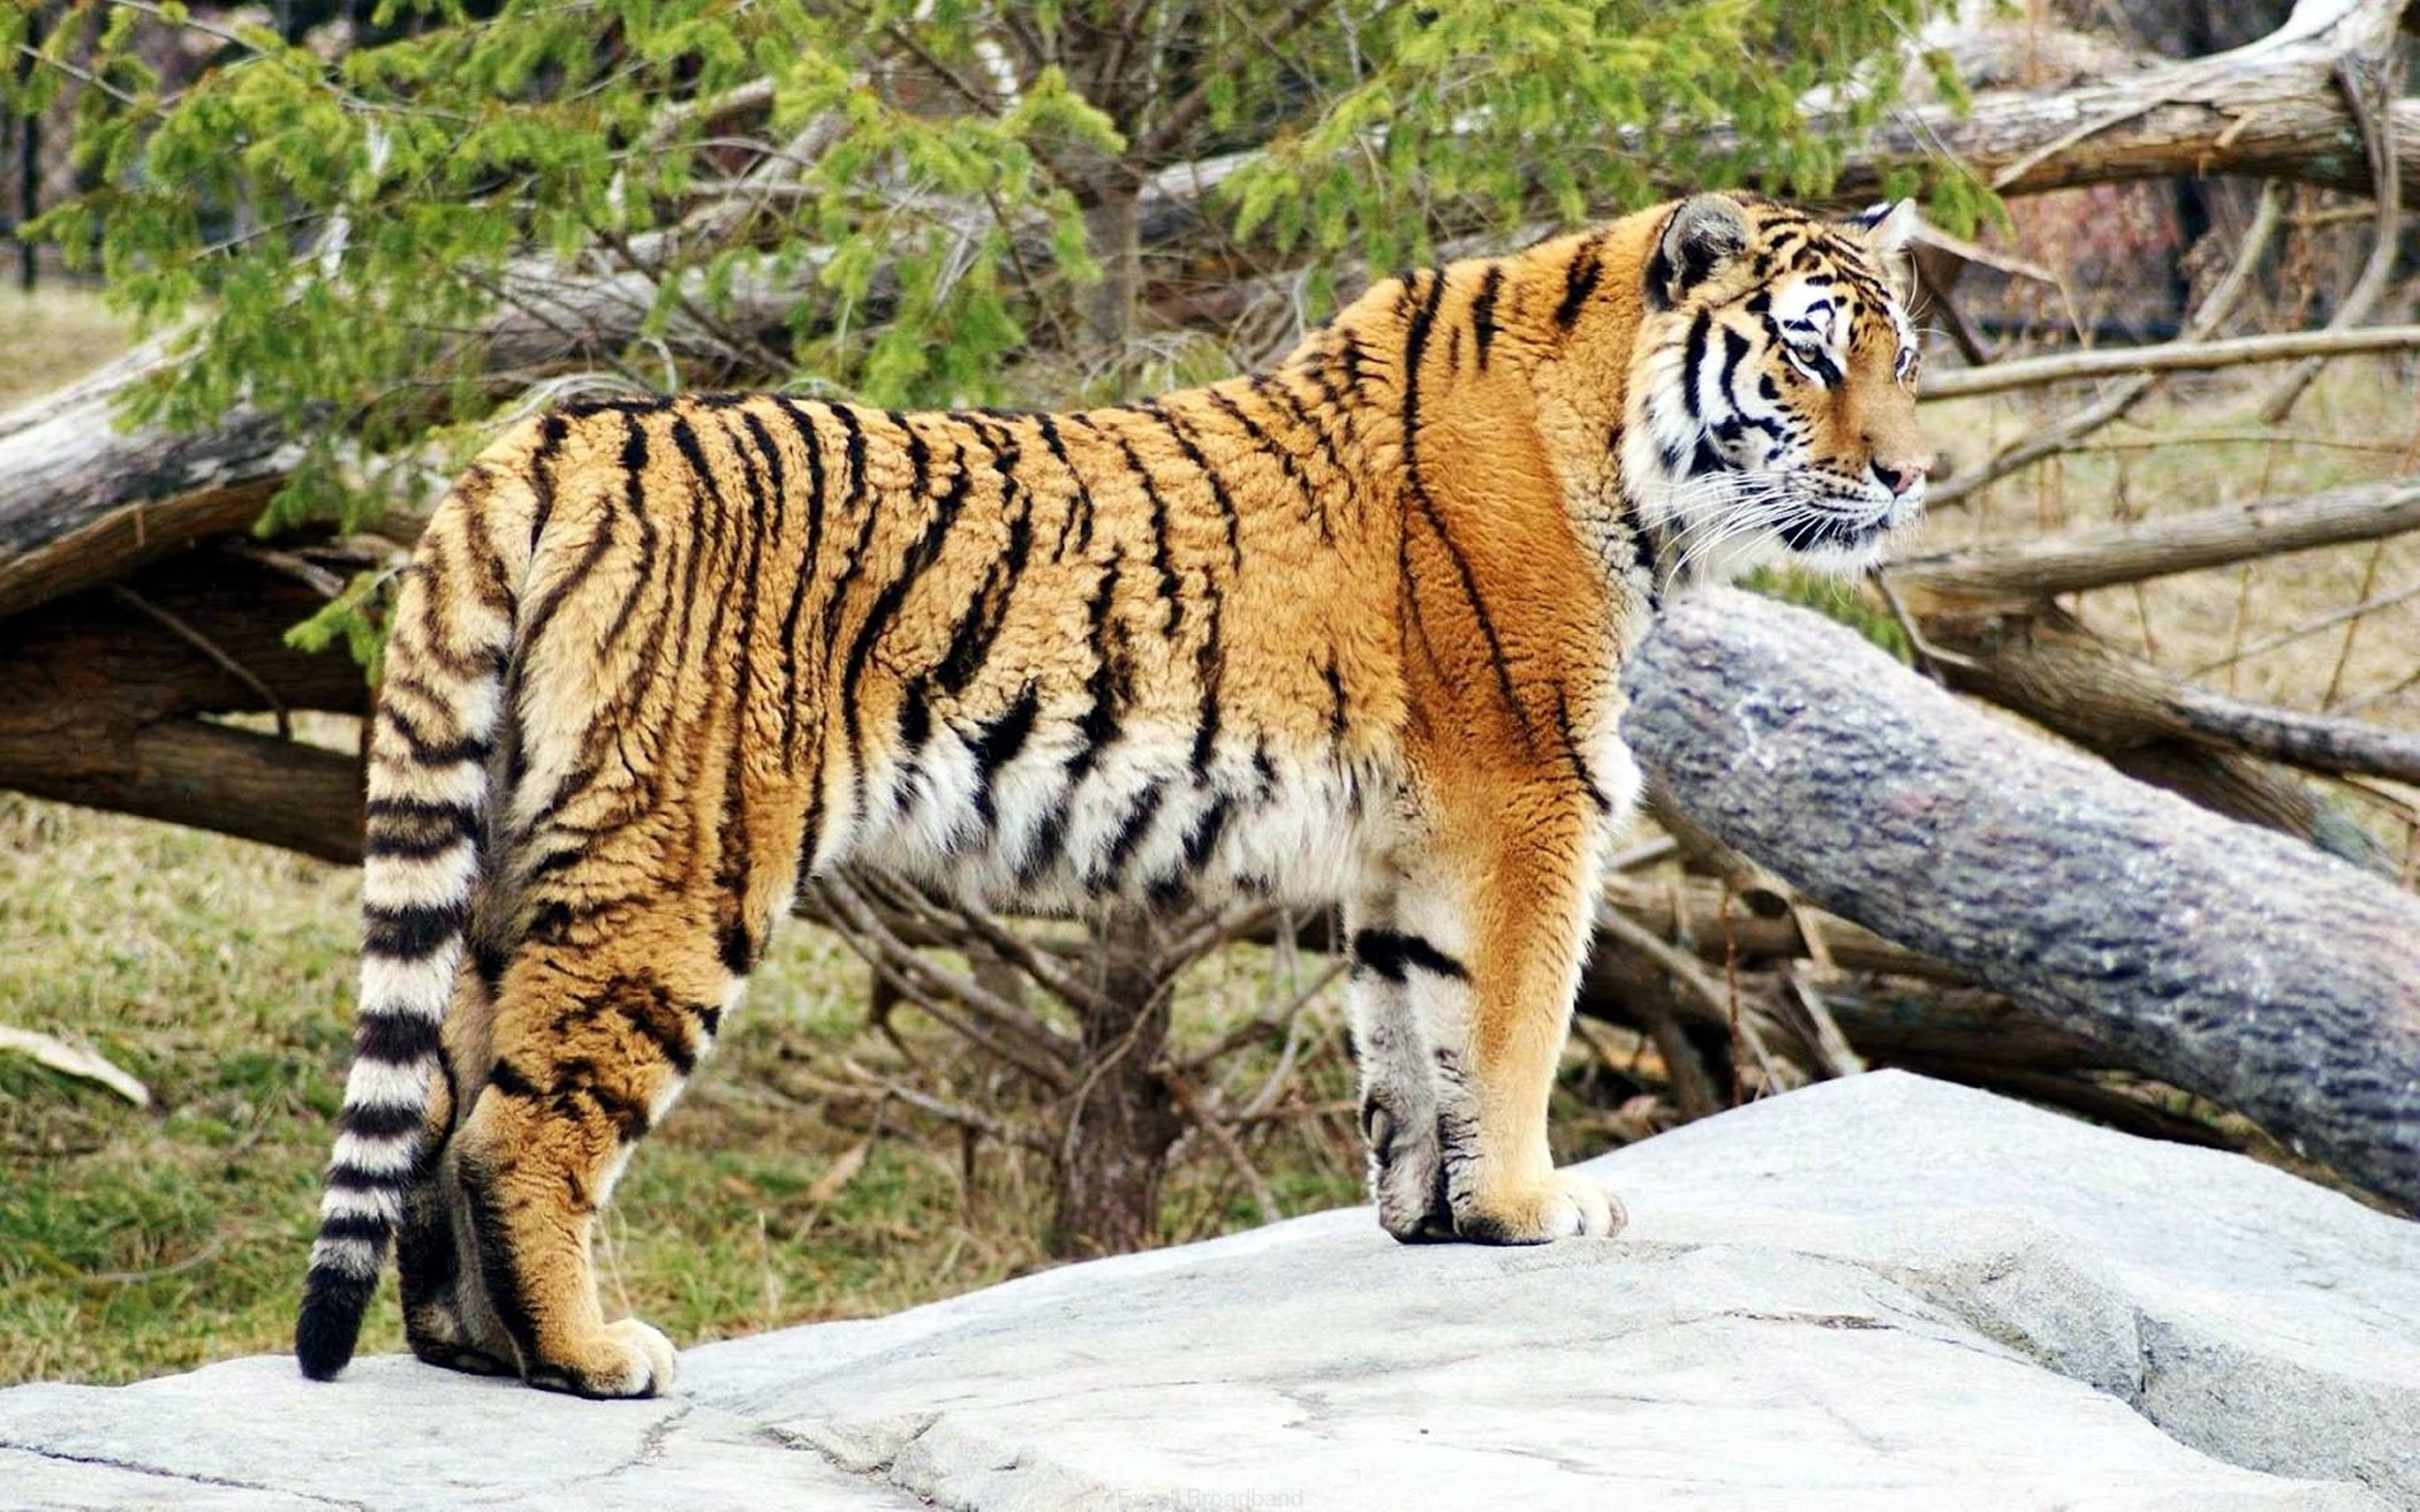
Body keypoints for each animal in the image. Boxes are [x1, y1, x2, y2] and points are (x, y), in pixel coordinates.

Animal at [295, 191, 1930, 1398]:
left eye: (1903, 357)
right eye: (1807, 358)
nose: (1913, 478)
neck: (1628, 469)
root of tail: (555, 437)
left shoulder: (1407, 843)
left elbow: (1415, 1036)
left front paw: (1440, 1220)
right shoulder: (1532, 803)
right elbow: (1515, 1027)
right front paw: (1537, 1207)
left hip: (513, 854)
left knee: (439, 1104)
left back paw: (475, 1351)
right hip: (676, 866)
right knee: (520, 1125)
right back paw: (590, 1354)